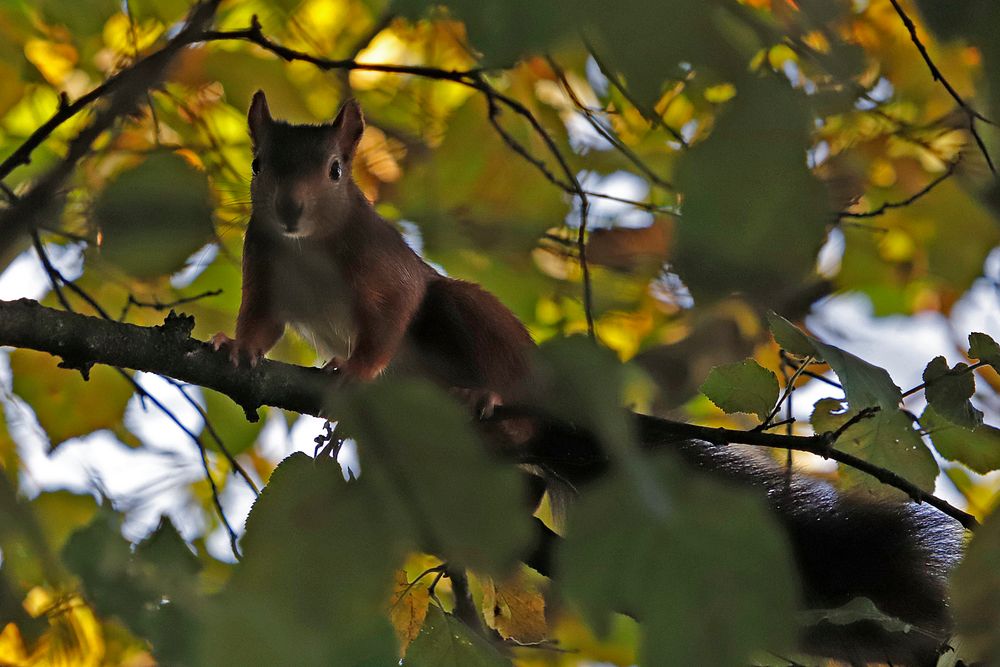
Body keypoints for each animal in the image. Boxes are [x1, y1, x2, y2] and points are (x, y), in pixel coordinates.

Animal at [215, 92, 961, 666]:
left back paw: (486, 400)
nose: (289, 209)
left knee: (484, 370)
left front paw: (356, 369)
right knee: (521, 479)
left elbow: (390, 317)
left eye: (335, 169)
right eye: (258, 164)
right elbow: (259, 322)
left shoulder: (385, 272)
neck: (309, 246)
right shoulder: (264, 266)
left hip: (472, 322)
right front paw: (235, 347)